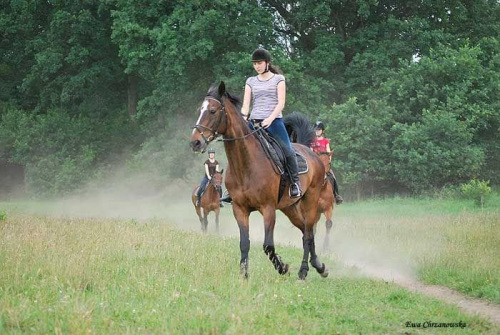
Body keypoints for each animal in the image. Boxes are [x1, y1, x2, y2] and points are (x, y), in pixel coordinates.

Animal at [191, 82, 328, 280]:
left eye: (213, 111)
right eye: (200, 110)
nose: (195, 142)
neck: (247, 165)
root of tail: (312, 154)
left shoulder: (268, 209)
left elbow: (268, 245)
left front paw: (283, 267)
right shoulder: (239, 209)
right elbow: (244, 243)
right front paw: (244, 275)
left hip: (310, 201)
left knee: (309, 233)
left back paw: (304, 271)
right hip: (290, 207)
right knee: (305, 231)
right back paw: (319, 266)